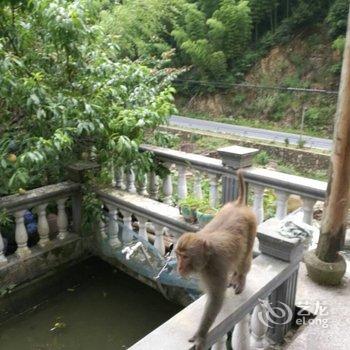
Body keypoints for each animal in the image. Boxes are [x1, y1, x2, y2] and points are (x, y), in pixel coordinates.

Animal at [175, 169, 258, 348]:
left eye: (185, 257)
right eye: (178, 255)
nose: (179, 267)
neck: (207, 257)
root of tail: (239, 205)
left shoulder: (215, 268)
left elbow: (215, 299)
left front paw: (200, 335)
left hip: (252, 225)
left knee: (245, 256)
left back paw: (240, 278)